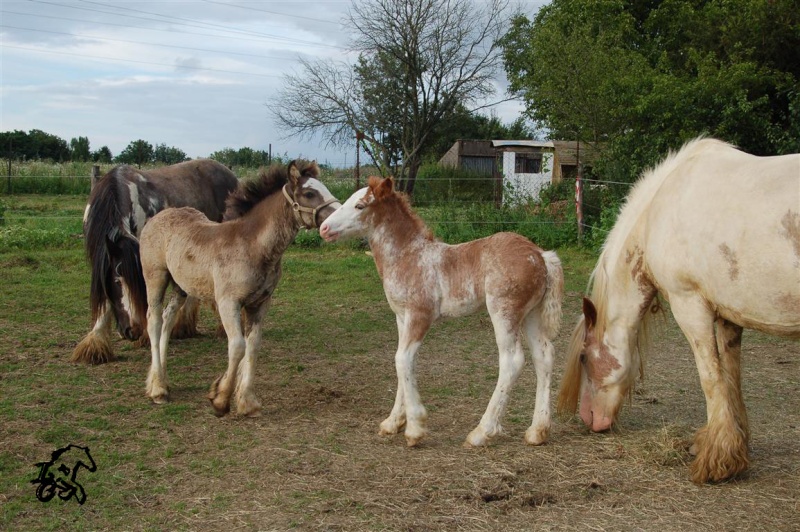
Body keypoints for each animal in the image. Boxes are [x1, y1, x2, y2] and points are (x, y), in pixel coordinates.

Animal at [139, 158, 340, 416]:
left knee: (167, 318)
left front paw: (247, 402)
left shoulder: (260, 303)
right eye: (309, 193)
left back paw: (161, 379)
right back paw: (158, 391)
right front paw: (220, 399)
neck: (252, 246)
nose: (332, 224)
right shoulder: (228, 302)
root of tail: (157, 217)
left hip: (181, 286)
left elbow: (253, 346)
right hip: (155, 277)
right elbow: (237, 346)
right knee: (153, 321)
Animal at [318, 177, 564, 446]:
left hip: (503, 312)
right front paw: (393, 422)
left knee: (512, 360)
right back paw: (537, 431)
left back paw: (481, 432)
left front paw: (415, 428)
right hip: (531, 314)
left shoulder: (420, 315)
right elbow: (402, 362)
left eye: (360, 206)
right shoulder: (401, 317)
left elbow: (402, 360)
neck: (408, 257)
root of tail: (541, 255)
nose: (324, 228)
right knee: (544, 355)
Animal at [556, 136, 800, 482]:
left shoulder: (690, 306)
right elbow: (731, 378)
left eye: (583, 357)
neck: (658, 212)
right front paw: (733, 444)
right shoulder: (729, 315)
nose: (588, 417)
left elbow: (710, 378)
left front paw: (716, 461)